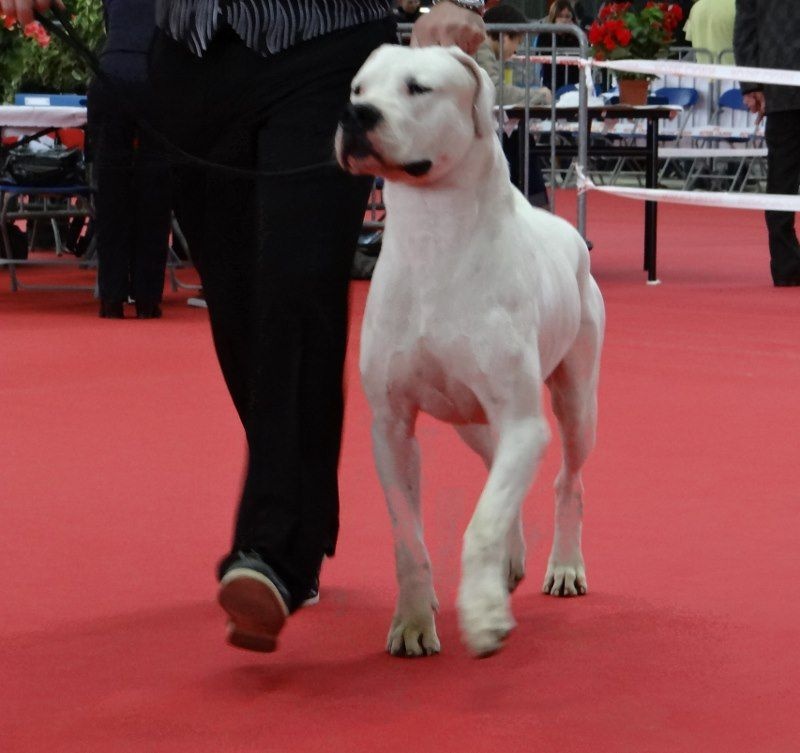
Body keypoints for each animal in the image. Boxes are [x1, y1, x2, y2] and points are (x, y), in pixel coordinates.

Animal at [334, 44, 604, 656]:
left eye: (418, 87)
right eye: (358, 88)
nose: (356, 115)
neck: (435, 239)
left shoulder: (524, 420)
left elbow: (481, 521)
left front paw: (482, 614)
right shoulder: (391, 425)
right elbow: (407, 533)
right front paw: (413, 620)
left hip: (577, 399)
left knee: (567, 480)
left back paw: (564, 566)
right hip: (469, 419)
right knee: (496, 470)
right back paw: (511, 560)